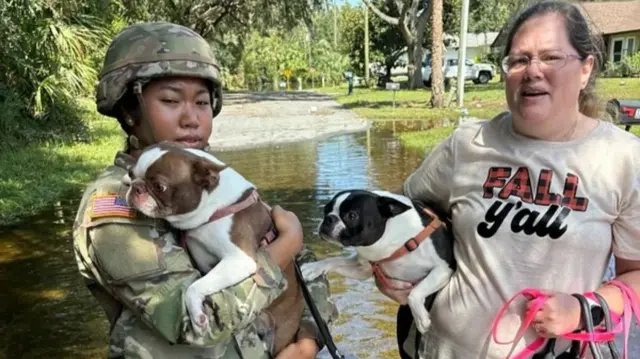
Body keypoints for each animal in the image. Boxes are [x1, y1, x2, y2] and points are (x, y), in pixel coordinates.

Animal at [127, 142, 304, 356]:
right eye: (130, 174)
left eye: (160, 187)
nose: (135, 186)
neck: (212, 207)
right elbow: (201, 282)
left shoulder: (239, 260)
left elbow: (194, 287)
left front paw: (197, 315)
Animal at [300, 190, 456, 334]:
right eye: (326, 210)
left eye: (352, 216)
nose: (329, 218)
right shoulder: (363, 269)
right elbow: (334, 260)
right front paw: (313, 267)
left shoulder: (444, 269)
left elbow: (414, 293)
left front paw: (421, 319)